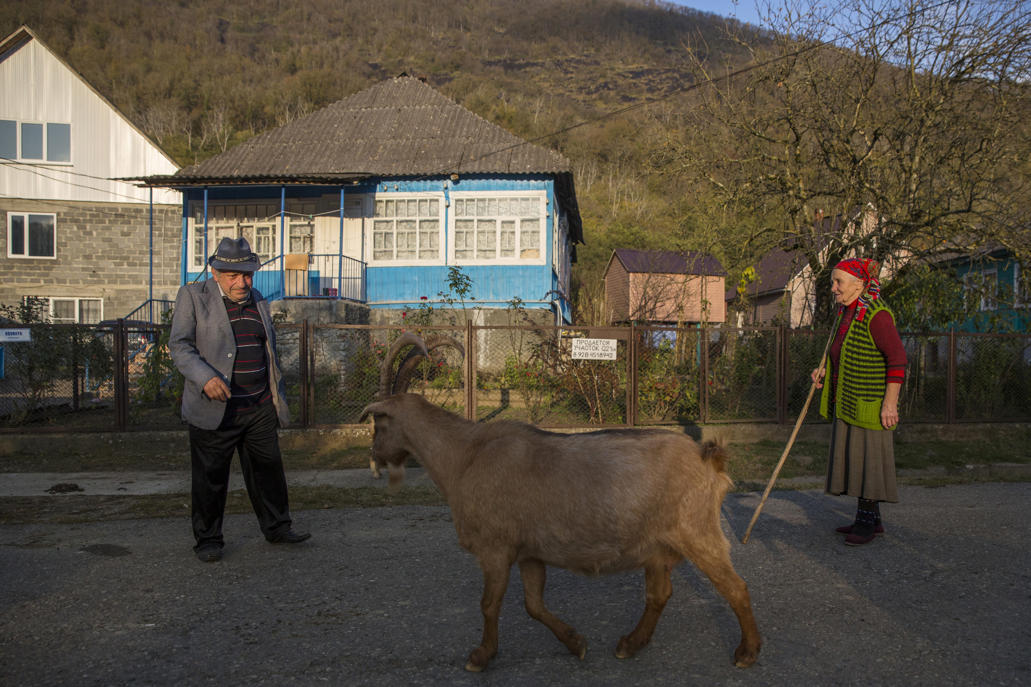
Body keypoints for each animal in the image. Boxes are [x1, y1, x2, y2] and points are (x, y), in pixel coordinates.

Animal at [361, 333, 761, 672]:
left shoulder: (495, 549)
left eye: (379, 421)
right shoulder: (529, 554)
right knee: (659, 593)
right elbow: (533, 605)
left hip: (697, 532)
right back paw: (630, 644)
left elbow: (489, 604)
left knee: (736, 587)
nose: (376, 457)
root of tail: (709, 458)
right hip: (658, 546)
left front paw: (481, 656)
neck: (464, 456)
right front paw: (576, 643)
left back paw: (747, 652)